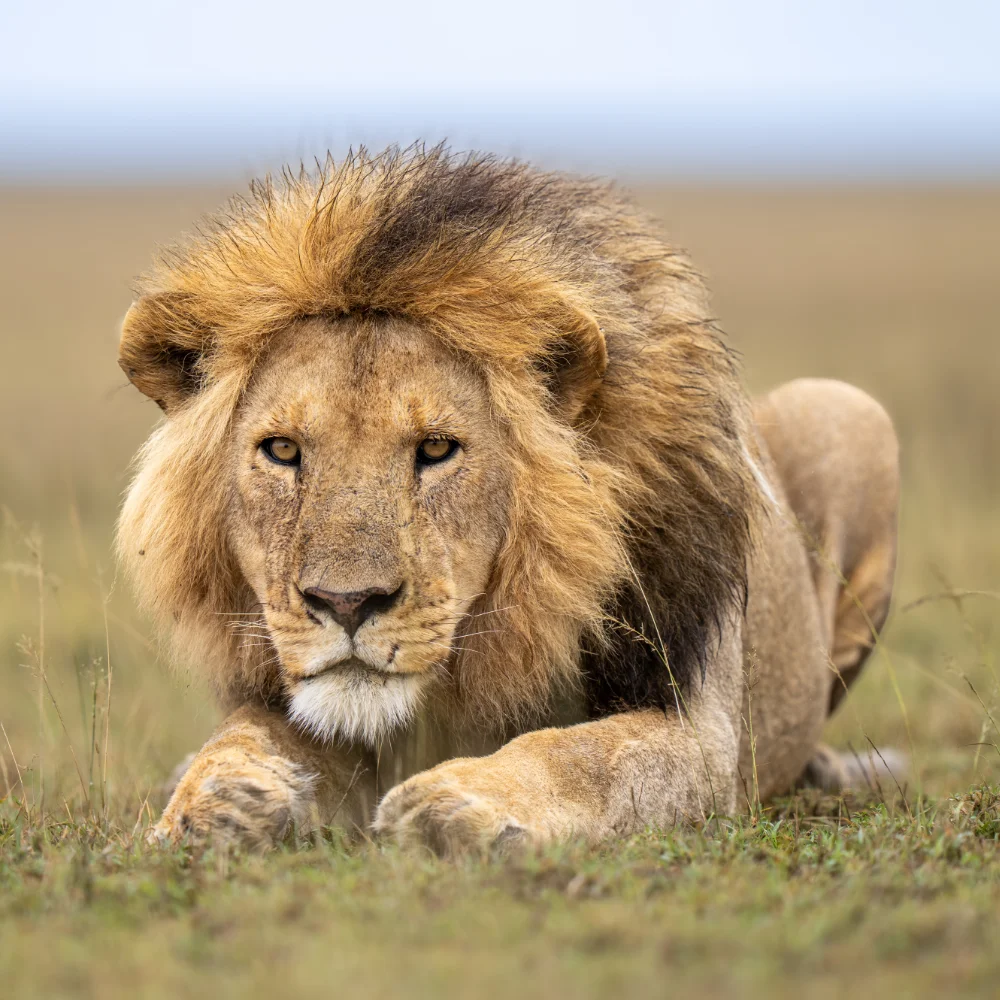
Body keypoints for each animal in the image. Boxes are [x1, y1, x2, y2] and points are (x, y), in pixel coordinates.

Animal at [117, 146, 899, 854]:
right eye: (282, 451)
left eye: (437, 449)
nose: (347, 603)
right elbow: (248, 730)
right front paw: (213, 797)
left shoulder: (702, 735)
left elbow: (586, 753)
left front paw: (452, 804)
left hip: (853, 414)